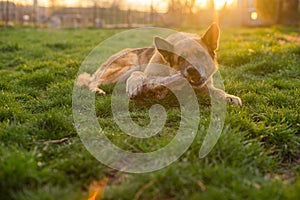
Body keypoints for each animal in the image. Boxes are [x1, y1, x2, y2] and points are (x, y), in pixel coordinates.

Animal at [76, 23, 243, 107]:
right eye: (180, 59)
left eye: (201, 55)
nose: (193, 71)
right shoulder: (146, 73)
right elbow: (140, 76)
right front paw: (135, 85)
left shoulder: (205, 86)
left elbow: (217, 91)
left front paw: (229, 97)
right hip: (129, 66)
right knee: (94, 82)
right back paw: (97, 90)